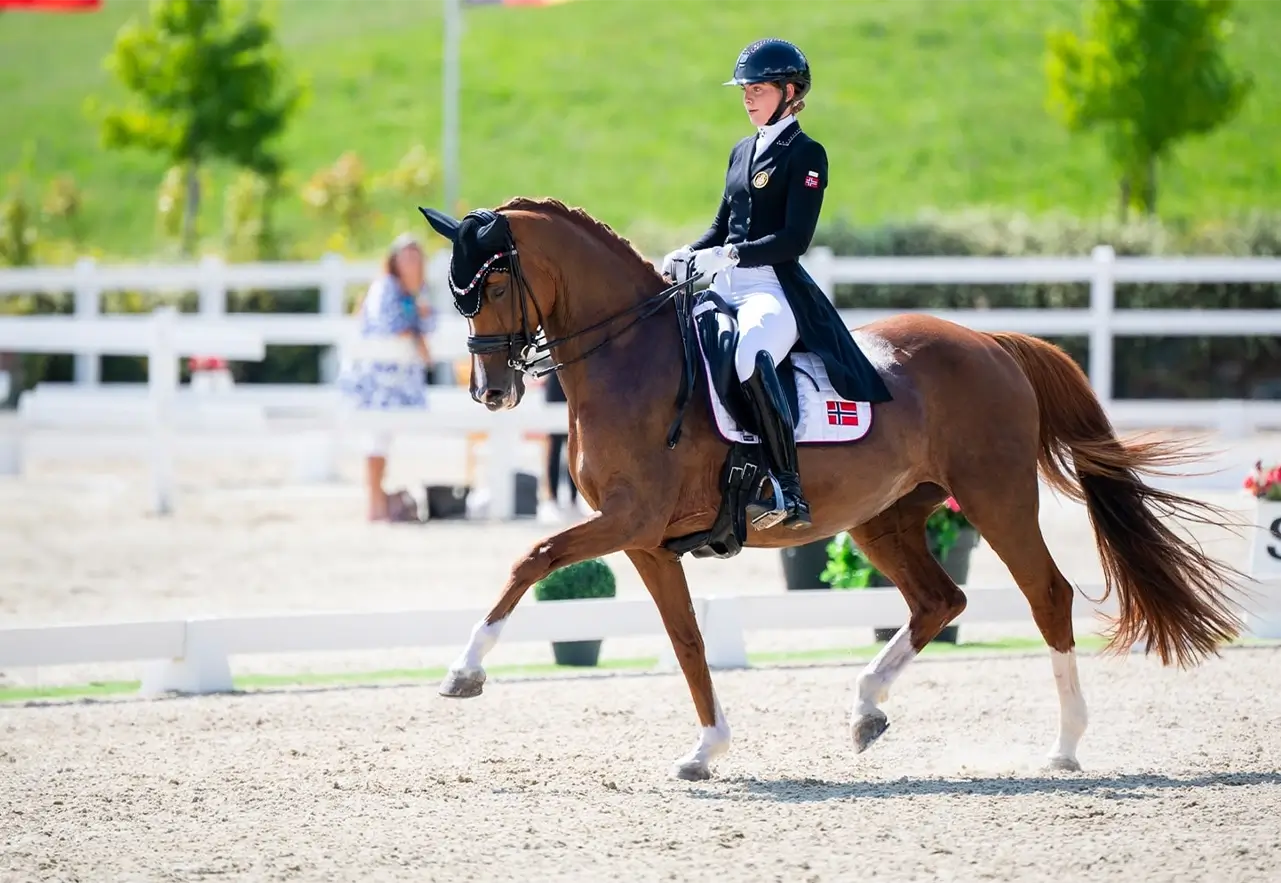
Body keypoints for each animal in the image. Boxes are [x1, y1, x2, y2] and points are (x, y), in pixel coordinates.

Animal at [417, 196, 1247, 782]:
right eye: (456, 291)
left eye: (491, 280)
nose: (491, 392)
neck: (632, 357)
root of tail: (991, 341)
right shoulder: (648, 540)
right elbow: (686, 640)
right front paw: (706, 748)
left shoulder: (629, 518)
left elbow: (531, 556)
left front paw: (464, 671)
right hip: (884, 518)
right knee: (939, 600)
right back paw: (865, 709)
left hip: (995, 496)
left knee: (1046, 595)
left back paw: (1065, 744)